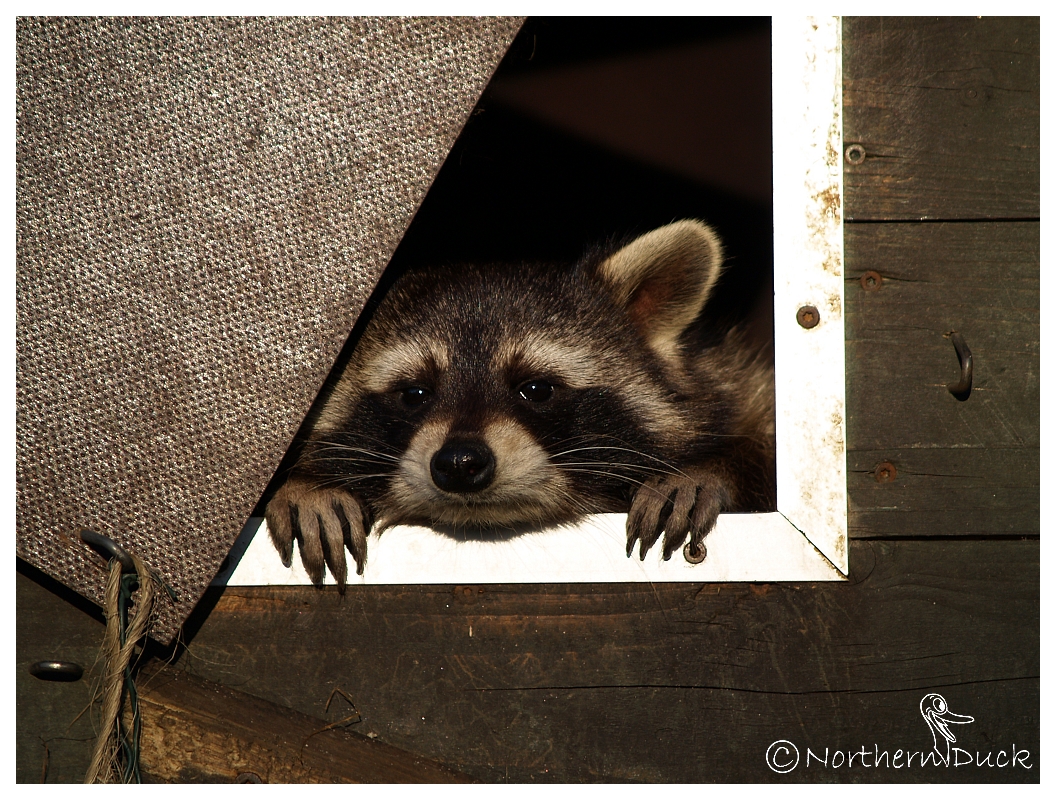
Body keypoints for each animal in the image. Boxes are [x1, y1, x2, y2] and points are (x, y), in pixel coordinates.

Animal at [264, 220, 777, 591]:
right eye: (414, 394)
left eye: (536, 389)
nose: (460, 463)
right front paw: (307, 482)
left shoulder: (731, 377)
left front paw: (714, 466)